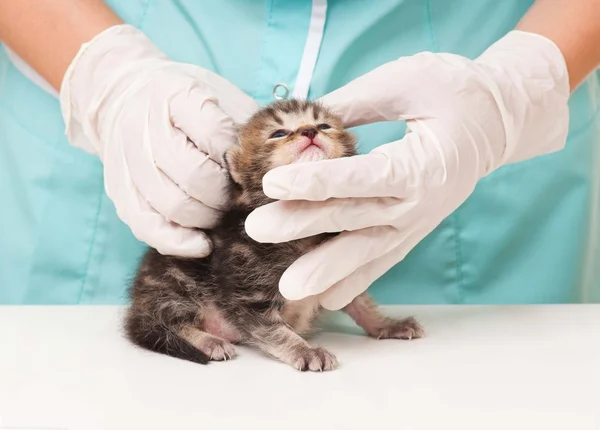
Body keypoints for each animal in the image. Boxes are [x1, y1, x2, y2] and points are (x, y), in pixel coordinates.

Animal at [123, 99, 422, 372]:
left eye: (324, 126)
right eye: (278, 133)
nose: (309, 131)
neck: (303, 234)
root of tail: (139, 305)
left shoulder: (340, 274)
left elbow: (361, 303)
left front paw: (386, 324)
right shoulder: (247, 292)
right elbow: (275, 330)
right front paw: (305, 350)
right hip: (176, 282)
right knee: (168, 323)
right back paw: (208, 341)